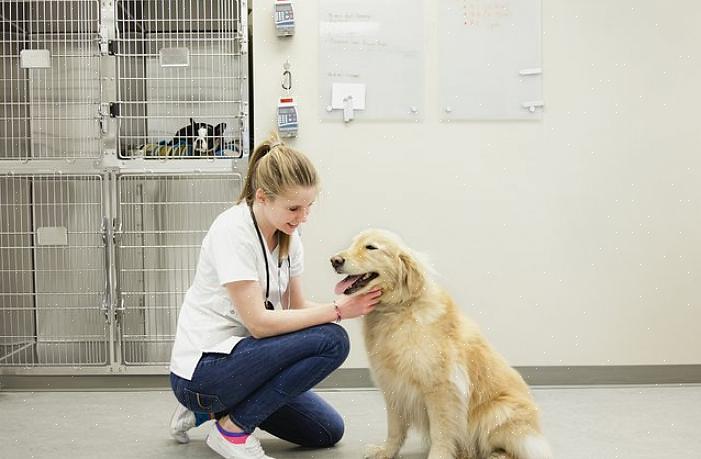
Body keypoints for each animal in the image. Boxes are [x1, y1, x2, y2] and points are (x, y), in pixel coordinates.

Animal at [330, 230, 552, 459]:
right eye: (353, 244)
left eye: (371, 247)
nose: (335, 261)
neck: (398, 309)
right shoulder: (392, 386)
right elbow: (395, 429)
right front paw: (385, 451)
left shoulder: (441, 388)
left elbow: (441, 431)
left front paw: (438, 454)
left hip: (499, 411)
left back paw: (496, 454)